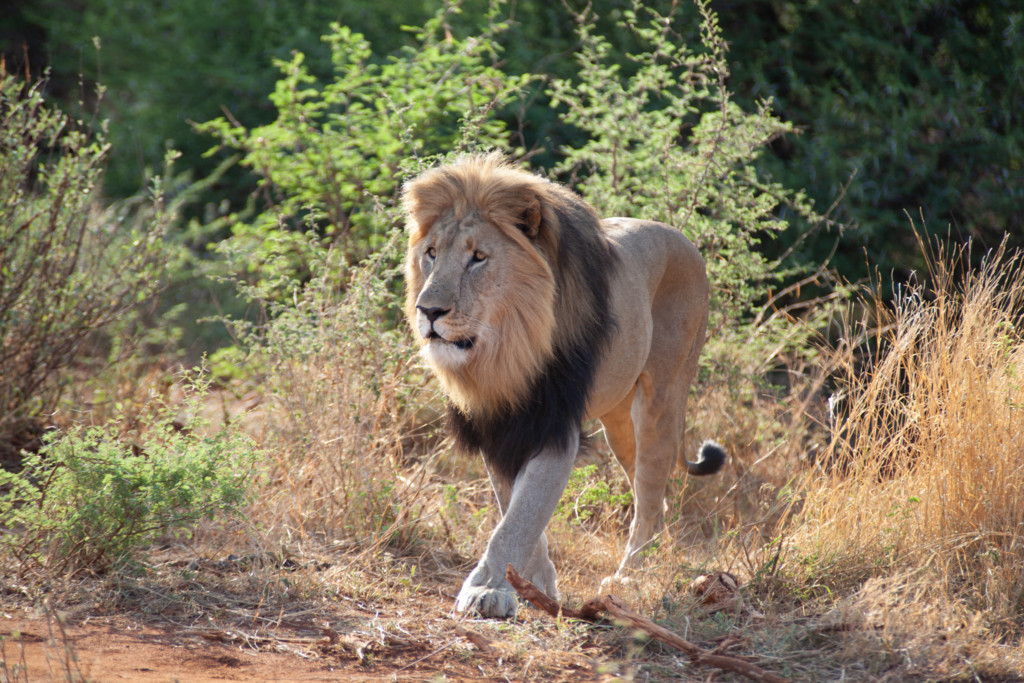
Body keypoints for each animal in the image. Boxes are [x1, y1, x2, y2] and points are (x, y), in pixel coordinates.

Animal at [401, 154, 729, 618]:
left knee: (649, 494)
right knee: (654, 495)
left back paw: (632, 575)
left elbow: (519, 516)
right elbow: (514, 507)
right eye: (430, 254)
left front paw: (486, 590)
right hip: (618, 423)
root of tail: (683, 239)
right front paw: (537, 584)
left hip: (661, 400)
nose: (427, 311)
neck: (504, 352)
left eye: (478, 258)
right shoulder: (498, 425)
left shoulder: (556, 426)